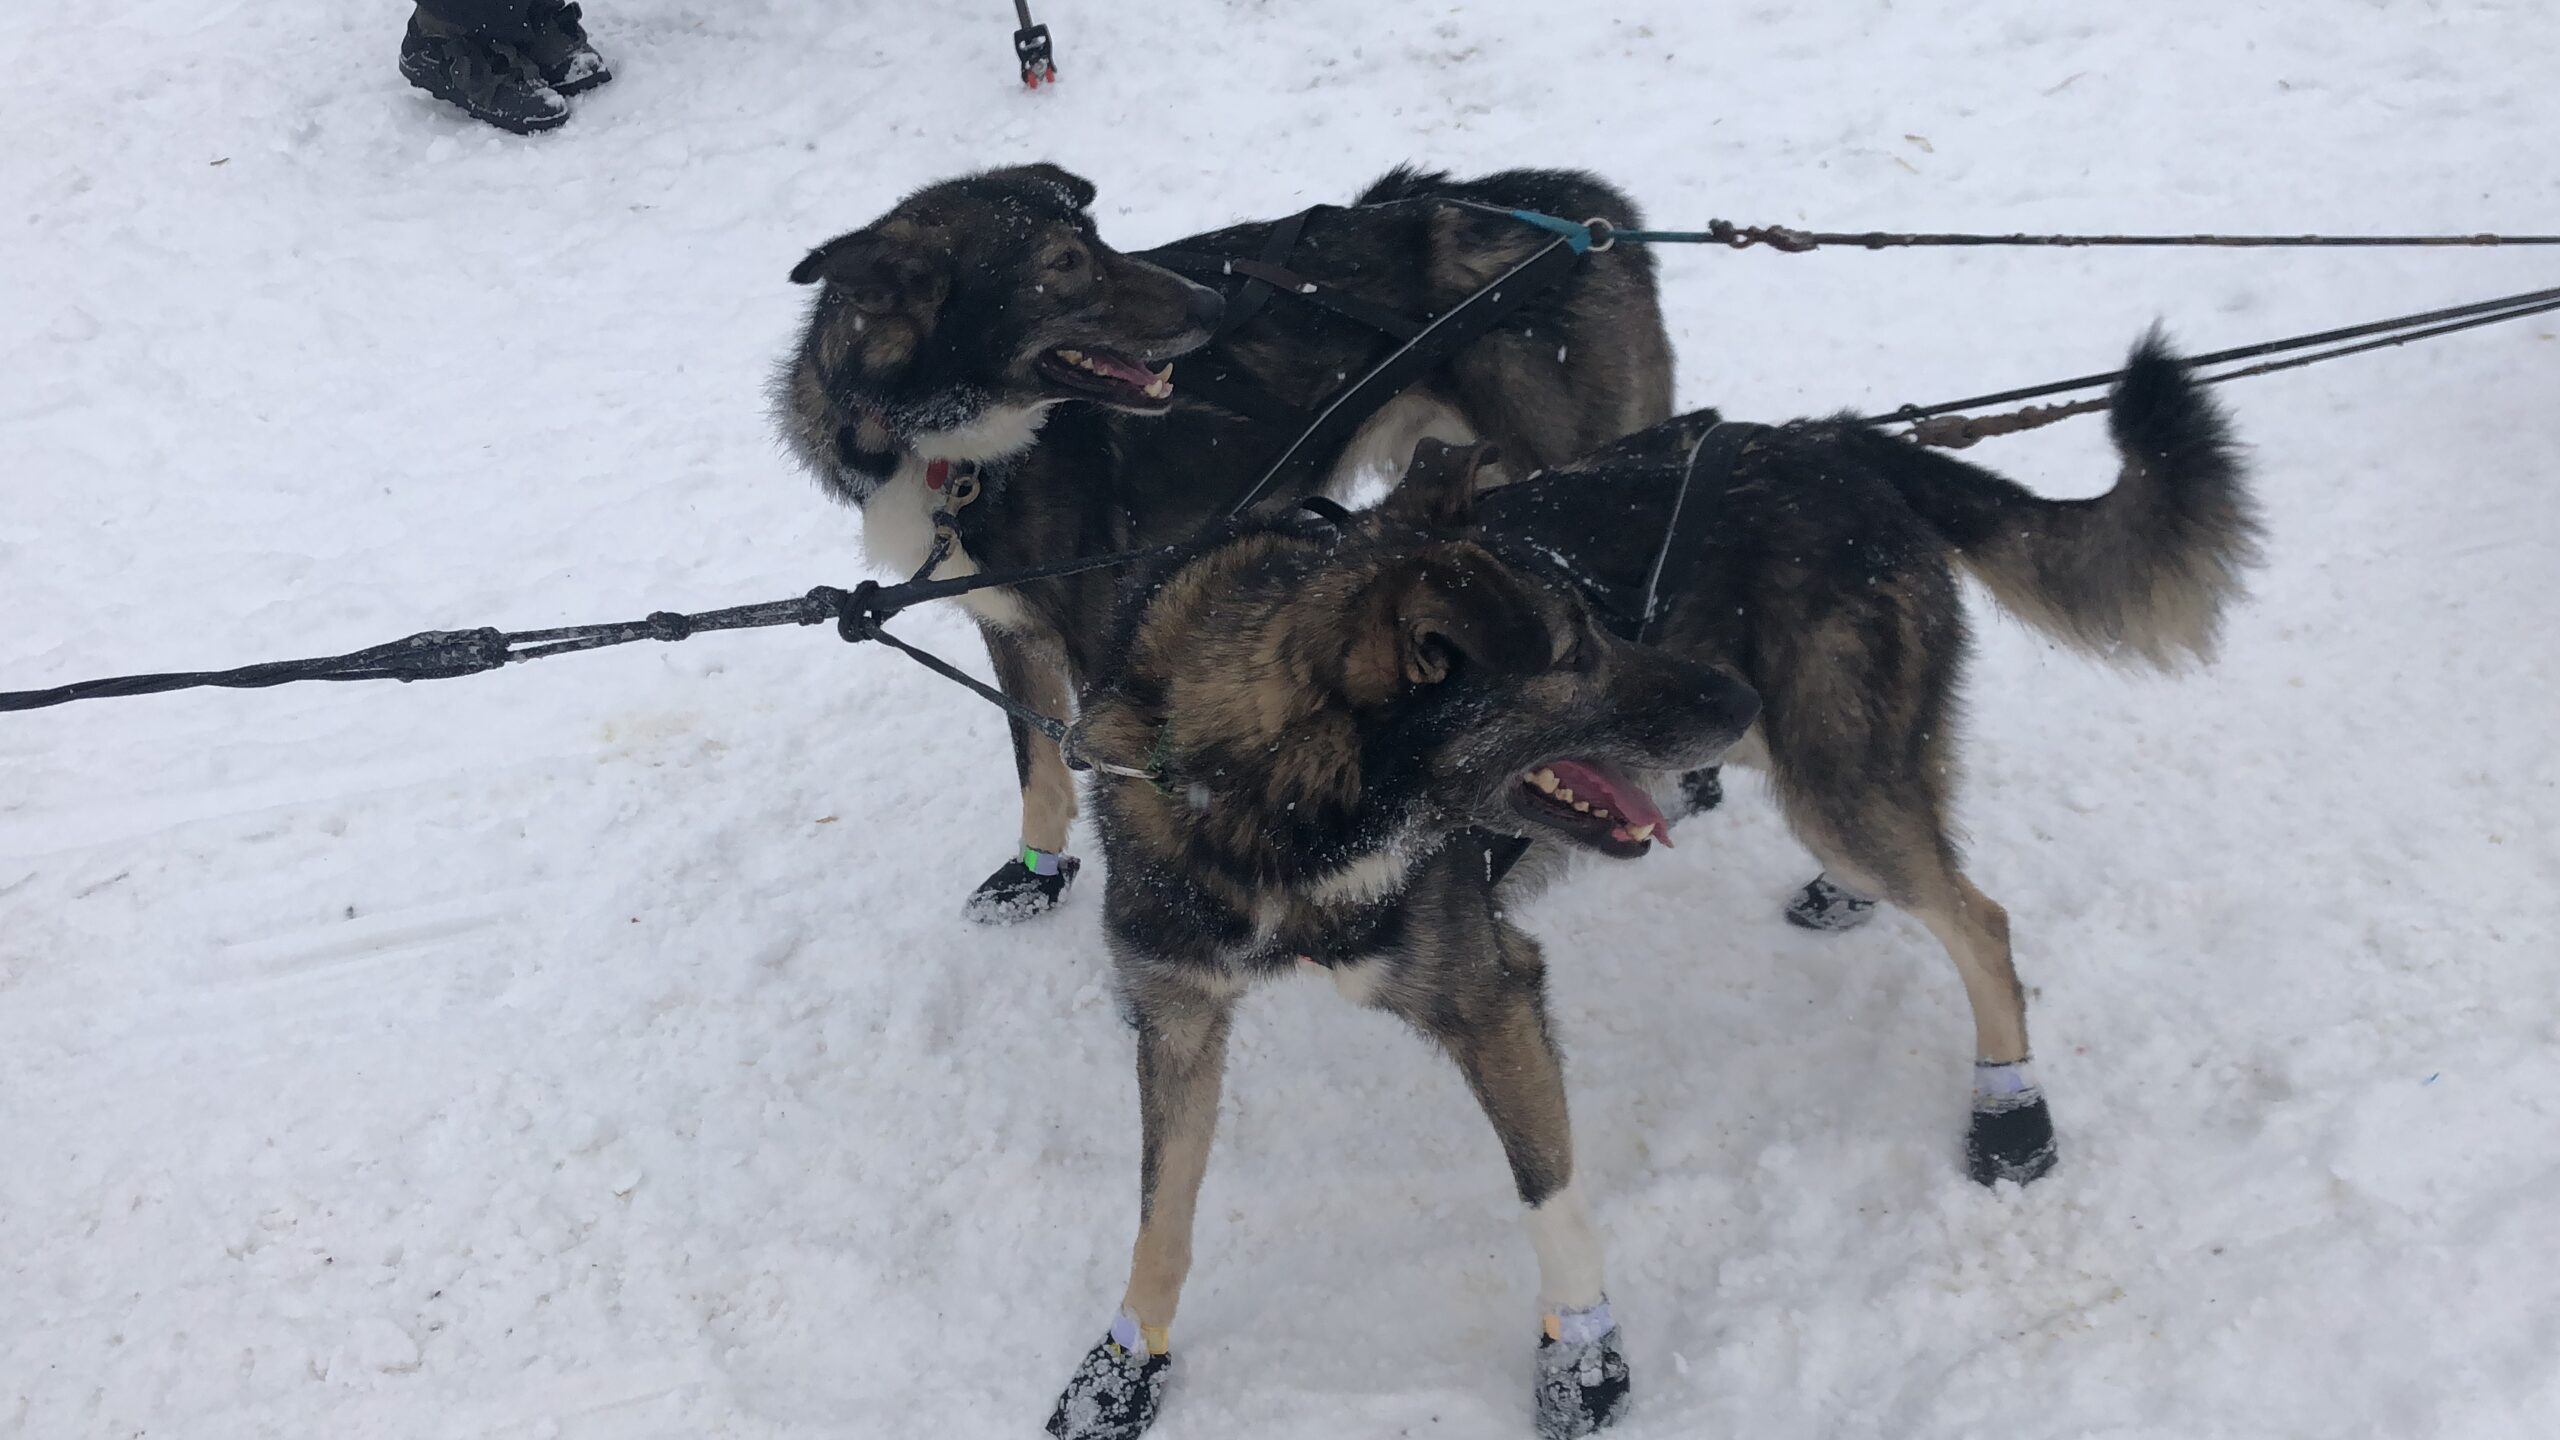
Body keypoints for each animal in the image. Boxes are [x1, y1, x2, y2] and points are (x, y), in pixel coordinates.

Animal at [773, 162, 1673, 922]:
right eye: (1065, 263)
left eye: (1099, 242)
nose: (1210, 309)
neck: (947, 452)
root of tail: (1588, 208)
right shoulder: (1011, 626)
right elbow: (1040, 769)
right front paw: (1035, 876)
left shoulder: (1097, 638)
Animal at [1041, 337, 2258, 1438]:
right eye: (1574, 654)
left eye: (1594, 627)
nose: (1731, 693)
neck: (1257, 807)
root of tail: (1838, 441)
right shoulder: (1177, 1016)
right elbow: (1161, 1216)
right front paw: (1122, 1367)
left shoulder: (1494, 997)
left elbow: (1549, 1195)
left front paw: (1583, 1362)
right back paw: (1844, 901)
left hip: (1834, 781)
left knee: (1980, 920)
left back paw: (2009, 1113)